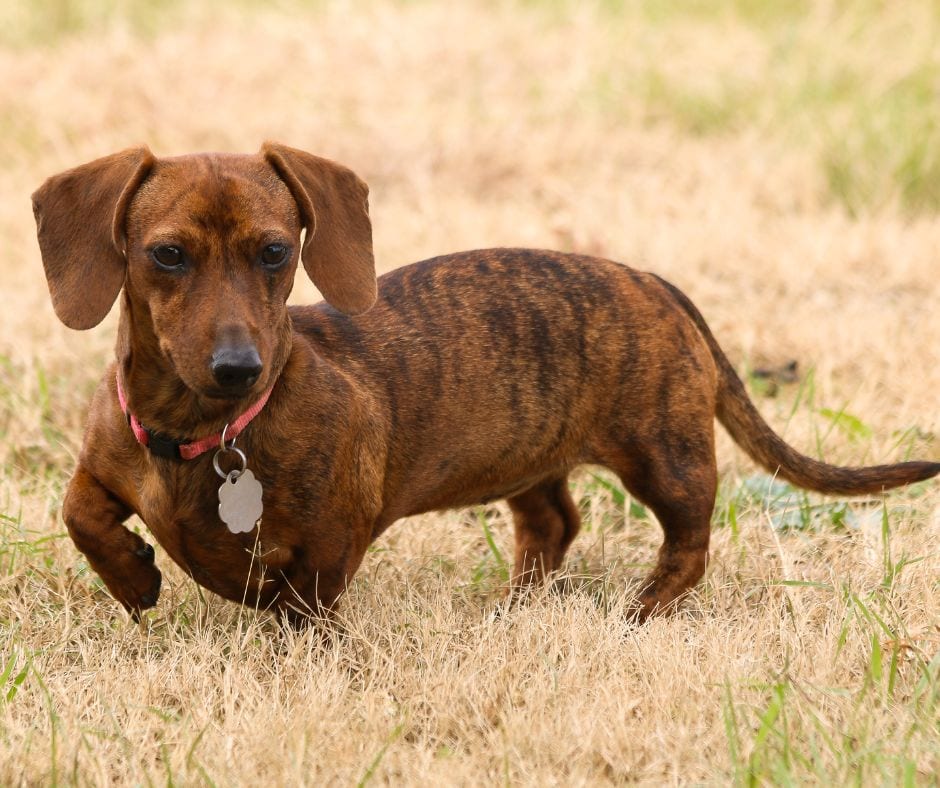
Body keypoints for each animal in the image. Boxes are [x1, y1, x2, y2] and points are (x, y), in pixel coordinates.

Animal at [33, 143, 936, 628]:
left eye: (275, 251)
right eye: (167, 254)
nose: (238, 367)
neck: (200, 431)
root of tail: (655, 281)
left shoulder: (333, 538)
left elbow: (305, 601)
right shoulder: (102, 465)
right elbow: (82, 513)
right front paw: (134, 575)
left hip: (666, 454)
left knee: (690, 541)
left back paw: (642, 610)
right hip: (528, 458)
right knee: (555, 522)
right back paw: (517, 604)